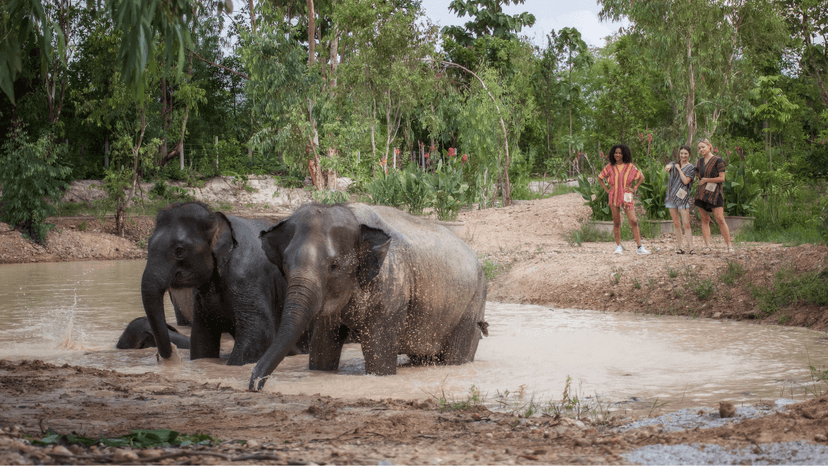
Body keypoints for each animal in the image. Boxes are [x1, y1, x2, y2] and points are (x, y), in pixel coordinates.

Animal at [143, 202, 289, 365]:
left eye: (179, 250)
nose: (173, 354)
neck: (214, 218)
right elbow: (202, 336)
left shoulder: (247, 276)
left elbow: (258, 334)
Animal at [249, 203, 487, 390]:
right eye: (285, 264)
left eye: (334, 265)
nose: (254, 386)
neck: (351, 213)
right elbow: (322, 346)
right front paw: (320, 371)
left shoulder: (391, 288)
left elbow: (379, 355)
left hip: (472, 303)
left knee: (456, 354)